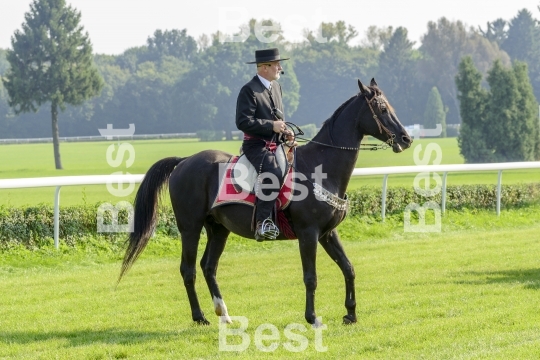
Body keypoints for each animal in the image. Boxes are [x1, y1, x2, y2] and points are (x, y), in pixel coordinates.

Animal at [119, 79, 414, 326]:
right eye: (382, 108)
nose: (406, 138)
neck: (321, 167)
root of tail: (183, 161)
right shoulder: (309, 234)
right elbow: (311, 278)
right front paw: (312, 318)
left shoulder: (328, 233)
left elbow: (349, 268)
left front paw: (350, 314)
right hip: (190, 228)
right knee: (188, 270)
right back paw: (199, 317)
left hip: (218, 229)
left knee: (208, 267)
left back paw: (224, 314)